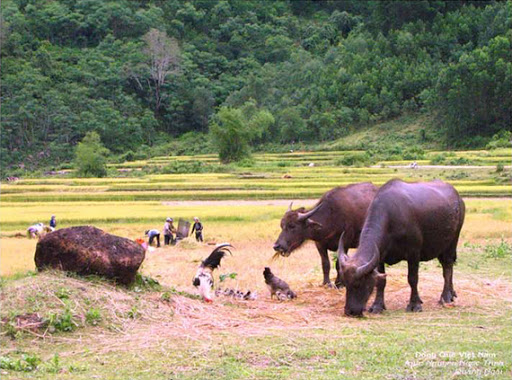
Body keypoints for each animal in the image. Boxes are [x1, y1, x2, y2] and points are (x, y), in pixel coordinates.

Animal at [338, 180, 466, 316]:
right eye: (345, 283)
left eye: (358, 284)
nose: (350, 311)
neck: (391, 217)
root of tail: (458, 198)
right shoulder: (380, 256)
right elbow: (381, 281)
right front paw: (377, 306)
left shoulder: (414, 253)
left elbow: (413, 279)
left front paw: (414, 305)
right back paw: (452, 293)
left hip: (452, 242)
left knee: (447, 266)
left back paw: (446, 297)